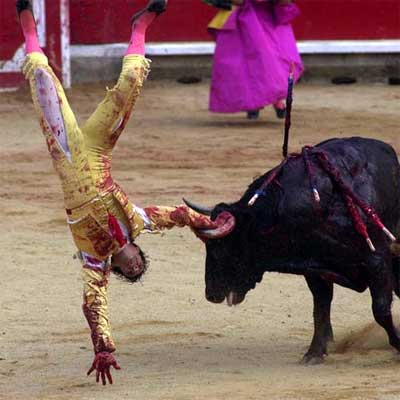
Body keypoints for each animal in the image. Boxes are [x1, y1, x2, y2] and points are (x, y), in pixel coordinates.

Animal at [188, 138, 400, 366]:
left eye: (222, 248)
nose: (210, 294)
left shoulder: (376, 261)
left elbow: (380, 310)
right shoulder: (315, 269)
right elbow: (320, 310)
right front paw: (314, 353)